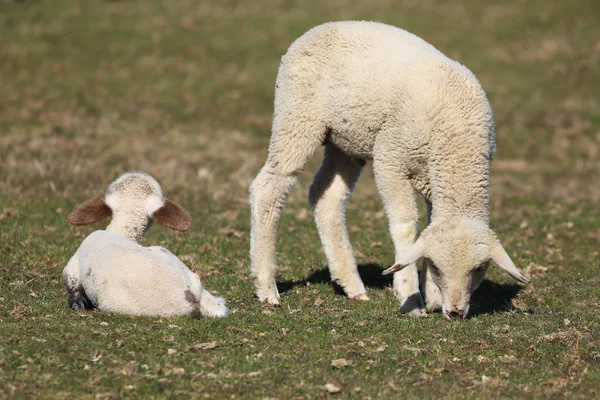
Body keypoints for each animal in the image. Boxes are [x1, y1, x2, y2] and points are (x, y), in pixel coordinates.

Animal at [248, 20, 528, 318]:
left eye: (479, 269)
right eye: (438, 266)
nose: (454, 312)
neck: (457, 144)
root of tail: (318, 29)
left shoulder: (434, 178)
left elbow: (430, 224)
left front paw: (431, 295)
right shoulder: (391, 158)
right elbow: (405, 225)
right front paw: (410, 295)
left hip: (345, 141)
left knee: (326, 196)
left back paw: (352, 286)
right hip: (297, 117)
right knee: (268, 189)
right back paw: (267, 288)